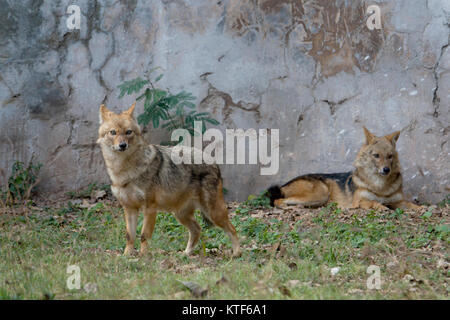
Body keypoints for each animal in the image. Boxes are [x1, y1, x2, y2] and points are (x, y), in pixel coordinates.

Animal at [97, 103, 241, 258]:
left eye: (128, 132)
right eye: (113, 132)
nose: (123, 145)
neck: (124, 170)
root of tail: (213, 161)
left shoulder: (150, 208)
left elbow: (144, 235)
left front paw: (143, 257)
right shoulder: (129, 208)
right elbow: (130, 236)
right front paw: (126, 255)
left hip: (213, 213)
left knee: (232, 228)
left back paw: (237, 253)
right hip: (180, 214)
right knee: (197, 229)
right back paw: (185, 253)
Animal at [270, 126, 422, 211]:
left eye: (390, 156)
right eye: (376, 155)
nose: (386, 170)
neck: (380, 187)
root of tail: (283, 184)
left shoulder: (398, 201)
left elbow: (411, 205)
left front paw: (422, 208)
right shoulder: (359, 201)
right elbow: (372, 201)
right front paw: (380, 207)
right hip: (320, 194)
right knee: (277, 201)